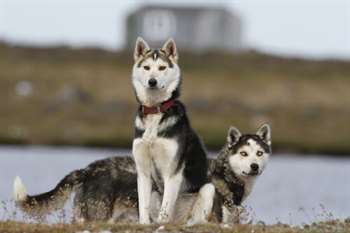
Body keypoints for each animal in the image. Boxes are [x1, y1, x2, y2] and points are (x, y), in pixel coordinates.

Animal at [131, 37, 208, 224]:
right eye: (146, 68)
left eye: (162, 68)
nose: (152, 81)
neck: (155, 110)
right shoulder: (143, 172)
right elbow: (142, 206)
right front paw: (144, 224)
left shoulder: (172, 172)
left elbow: (165, 209)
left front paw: (161, 224)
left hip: (208, 189)